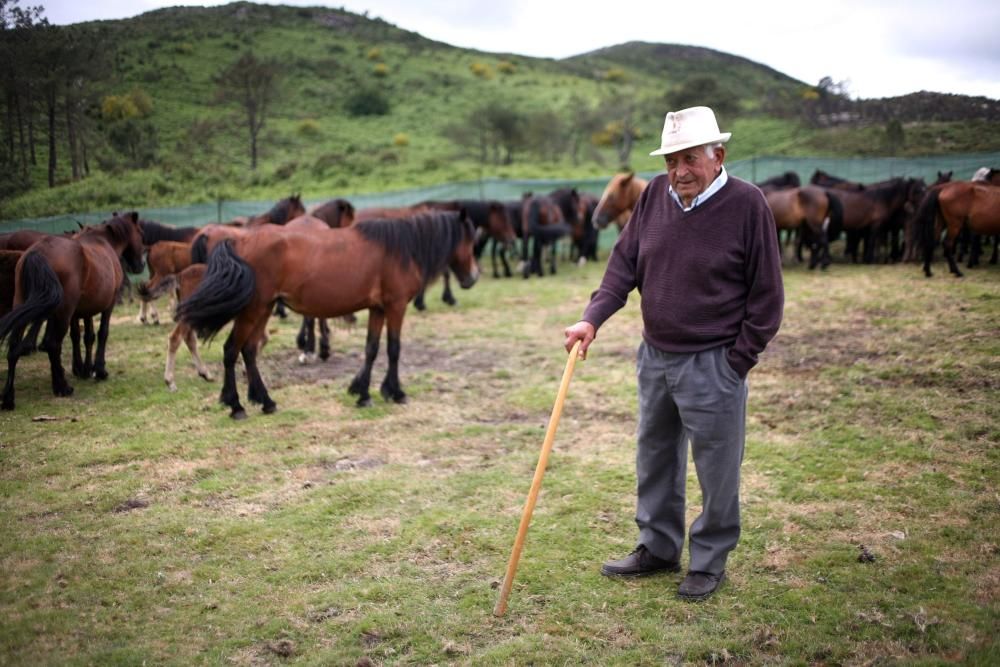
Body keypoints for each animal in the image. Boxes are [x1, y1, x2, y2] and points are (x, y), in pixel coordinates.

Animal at [0, 214, 145, 412]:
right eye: (140, 233)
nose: (140, 266)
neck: (103, 241)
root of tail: (39, 251)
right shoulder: (108, 304)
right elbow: (102, 333)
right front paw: (98, 370)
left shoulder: (81, 312)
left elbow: (83, 336)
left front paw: (83, 369)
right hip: (61, 311)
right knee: (51, 344)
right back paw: (62, 387)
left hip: (24, 307)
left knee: (15, 348)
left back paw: (9, 397)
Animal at [177, 211, 480, 418]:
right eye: (468, 239)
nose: (474, 277)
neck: (400, 249)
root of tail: (239, 241)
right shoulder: (395, 306)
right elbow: (394, 349)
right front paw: (396, 392)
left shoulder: (378, 309)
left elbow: (371, 349)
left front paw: (363, 393)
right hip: (254, 309)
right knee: (231, 349)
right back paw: (236, 405)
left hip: (264, 308)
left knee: (249, 350)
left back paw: (266, 401)